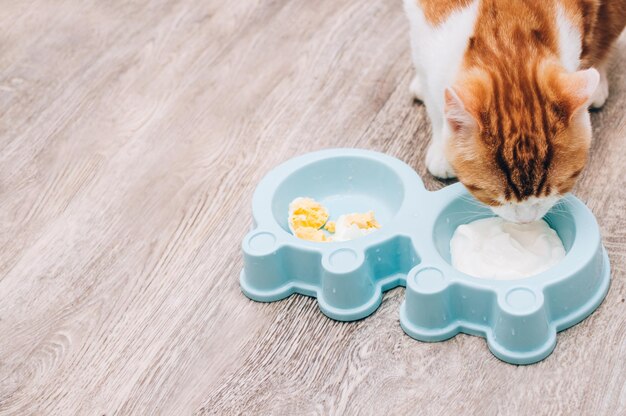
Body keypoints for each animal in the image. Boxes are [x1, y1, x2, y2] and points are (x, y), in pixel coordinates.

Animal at [404, 0, 624, 223]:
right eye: (495, 197)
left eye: (556, 189)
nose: (526, 220)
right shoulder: (422, 30)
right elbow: (433, 100)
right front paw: (441, 145)